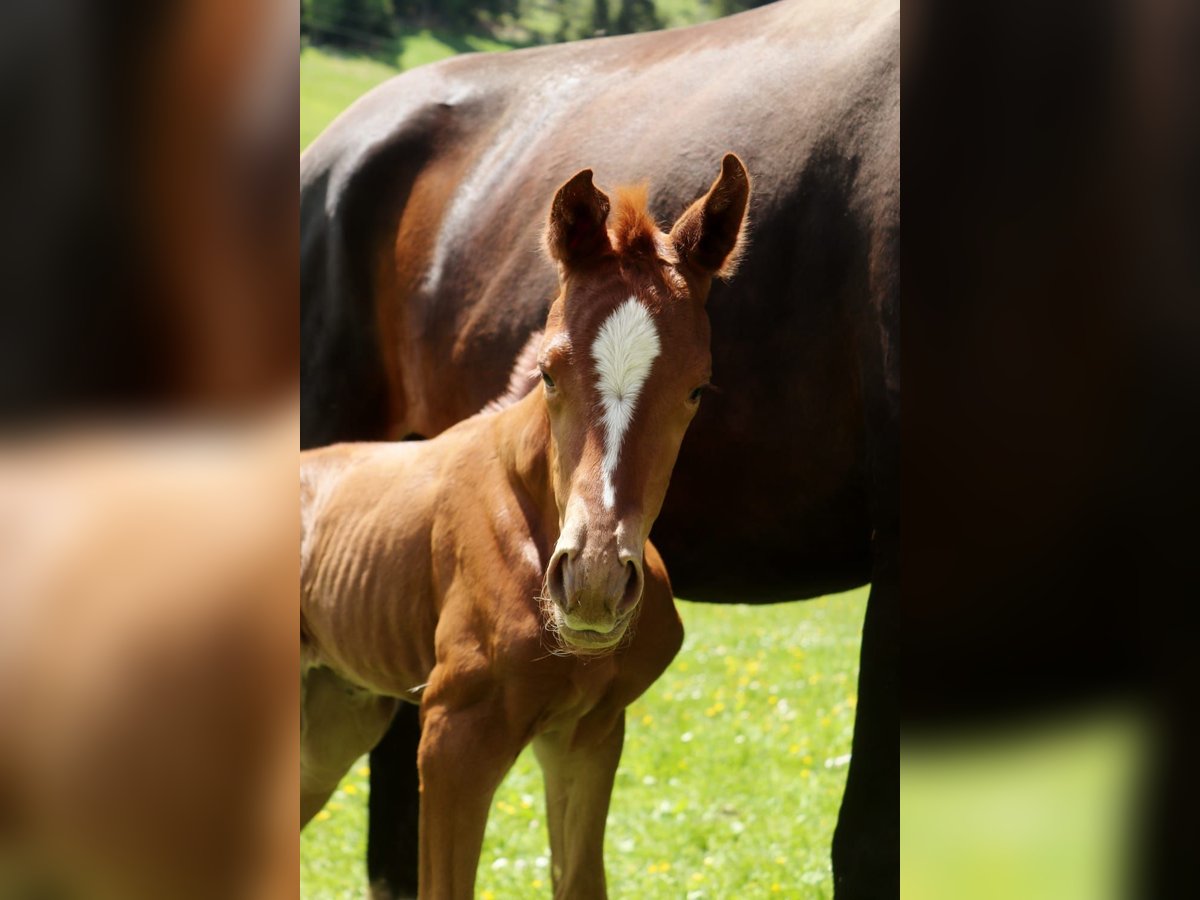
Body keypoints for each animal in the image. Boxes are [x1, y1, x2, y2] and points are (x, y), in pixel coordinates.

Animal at [300, 151, 748, 897]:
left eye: (696, 387)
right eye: (548, 372)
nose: (594, 583)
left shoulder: (588, 734)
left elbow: (580, 880)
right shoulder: (451, 733)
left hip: (335, 716)